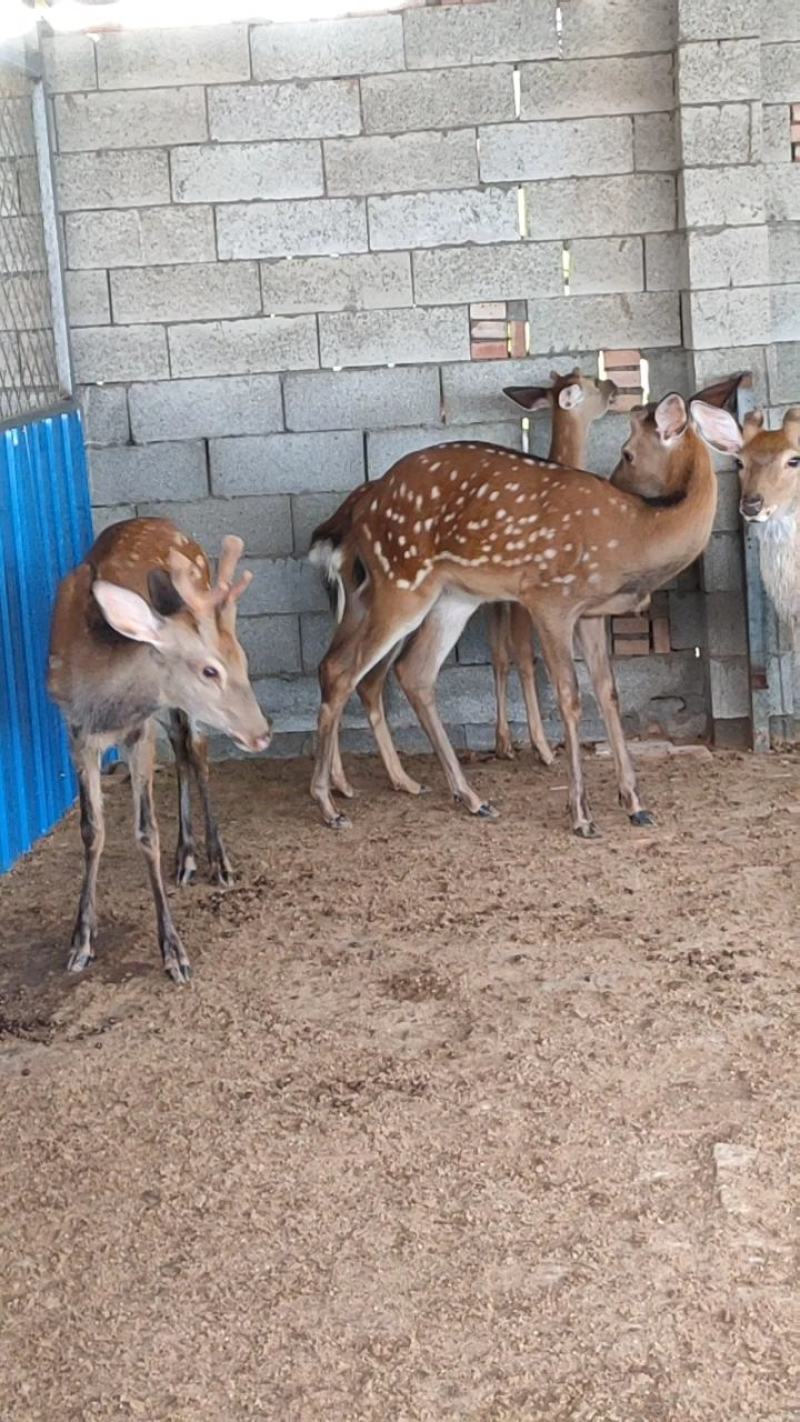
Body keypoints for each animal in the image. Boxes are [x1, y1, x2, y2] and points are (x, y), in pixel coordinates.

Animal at [48, 517, 271, 985]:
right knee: (183, 748)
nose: (261, 734)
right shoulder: (76, 732)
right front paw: (81, 941)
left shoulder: (139, 731)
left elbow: (146, 831)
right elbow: (91, 829)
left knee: (196, 749)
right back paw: (185, 857)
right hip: (168, 709)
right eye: (210, 670)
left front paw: (174, 952)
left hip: (171, 711)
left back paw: (216, 860)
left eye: (243, 660)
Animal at [309, 393, 741, 837]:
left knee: (412, 671)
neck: (633, 536)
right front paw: (581, 813)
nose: (617, 481)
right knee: (343, 670)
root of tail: (361, 509)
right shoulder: (549, 598)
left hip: (451, 596)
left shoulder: (591, 611)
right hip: (401, 580)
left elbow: (608, 691)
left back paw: (471, 798)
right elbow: (570, 696)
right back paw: (329, 805)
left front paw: (636, 804)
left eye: (627, 453)